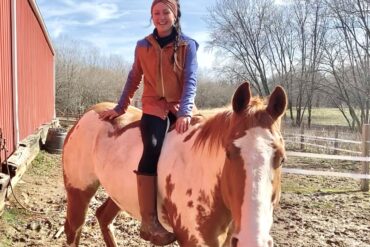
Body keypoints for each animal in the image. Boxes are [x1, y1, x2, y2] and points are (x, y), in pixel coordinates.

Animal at [62, 82, 286, 246]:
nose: (252, 240)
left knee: (103, 217)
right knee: (74, 229)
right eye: (228, 152)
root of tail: (89, 113)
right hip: (78, 193)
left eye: (282, 158)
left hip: (119, 195)